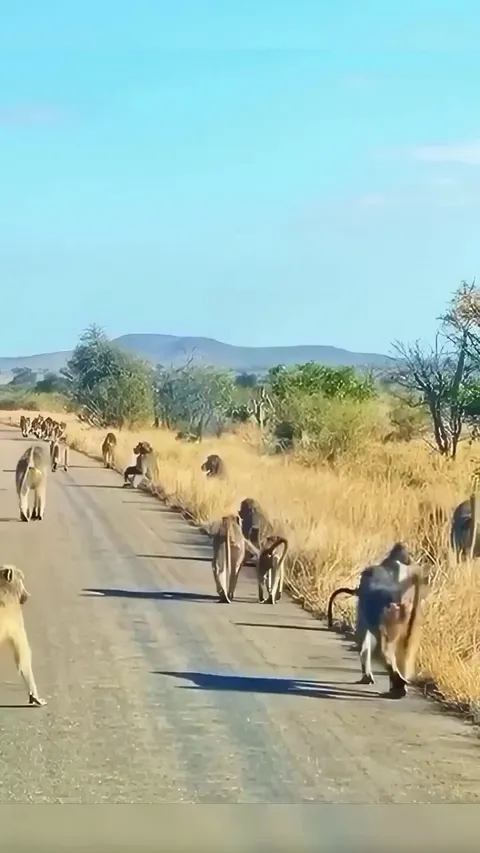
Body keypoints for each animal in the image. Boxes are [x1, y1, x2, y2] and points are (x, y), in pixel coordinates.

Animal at [327, 542, 426, 698]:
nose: (409, 559)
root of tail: (399, 603)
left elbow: (363, 637)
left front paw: (367, 676)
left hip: (391, 619)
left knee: (383, 650)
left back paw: (397, 684)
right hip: (410, 619)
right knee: (404, 651)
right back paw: (399, 686)